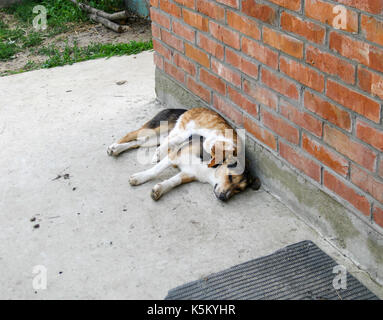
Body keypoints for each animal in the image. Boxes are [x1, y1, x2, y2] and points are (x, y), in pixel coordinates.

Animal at [108, 109, 260, 201]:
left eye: (238, 190)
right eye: (230, 177)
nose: (223, 198)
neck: (211, 172)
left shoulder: (188, 174)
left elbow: (173, 181)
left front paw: (159, 189)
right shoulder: (174, 156)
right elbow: (155, 170)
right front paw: (139, 178)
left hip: (155, 139)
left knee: (137, 143)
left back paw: (117, 149)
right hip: (156, 130)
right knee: (131, 135)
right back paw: (113, 147)